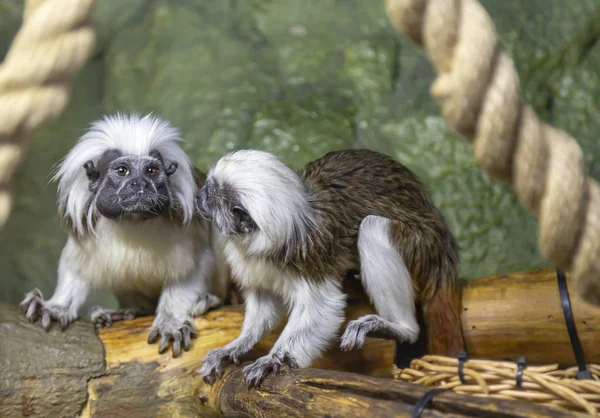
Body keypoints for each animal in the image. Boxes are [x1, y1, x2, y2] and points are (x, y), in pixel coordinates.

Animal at [18, 112, 230, 358]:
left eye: (151, 171)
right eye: (122, 171)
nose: (139, 184)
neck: (133, 220)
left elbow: (191, 270)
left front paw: (171, 322)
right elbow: (76, 269)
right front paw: (56, 307)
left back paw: (210, 301)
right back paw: (128, 312)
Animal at [197, 148, 464, 388]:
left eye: (210, 194)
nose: (199, 197)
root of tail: (446, 248)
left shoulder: (310, 260)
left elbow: (323, 308)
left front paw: (273, 359)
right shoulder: (251, 261)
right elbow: (265, 303)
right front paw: (235, 346)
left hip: (422, 245)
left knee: (373, 228)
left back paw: (399, 328)